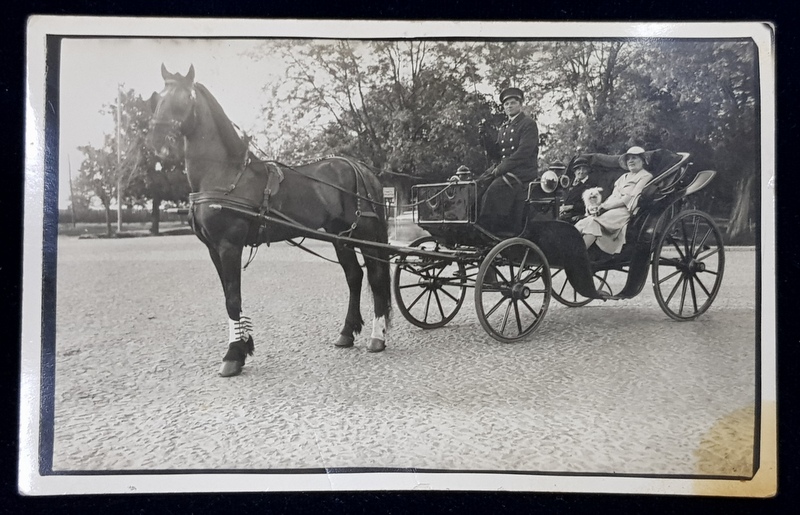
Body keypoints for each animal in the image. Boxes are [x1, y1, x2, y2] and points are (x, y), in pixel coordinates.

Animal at [148, 65, 394, 378]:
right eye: (157, 99)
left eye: (183, 99)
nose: (157, 144)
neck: (226, 176)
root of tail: (362, 168)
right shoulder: (213, 249)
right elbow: (229, 298)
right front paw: (242, 345)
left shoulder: (229, 245)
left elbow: (233, 299)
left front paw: (233, 356)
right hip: (340, 236)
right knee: (354, 276)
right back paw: (346, 333)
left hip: (366, 234)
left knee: (376, 277)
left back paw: (377, 336)